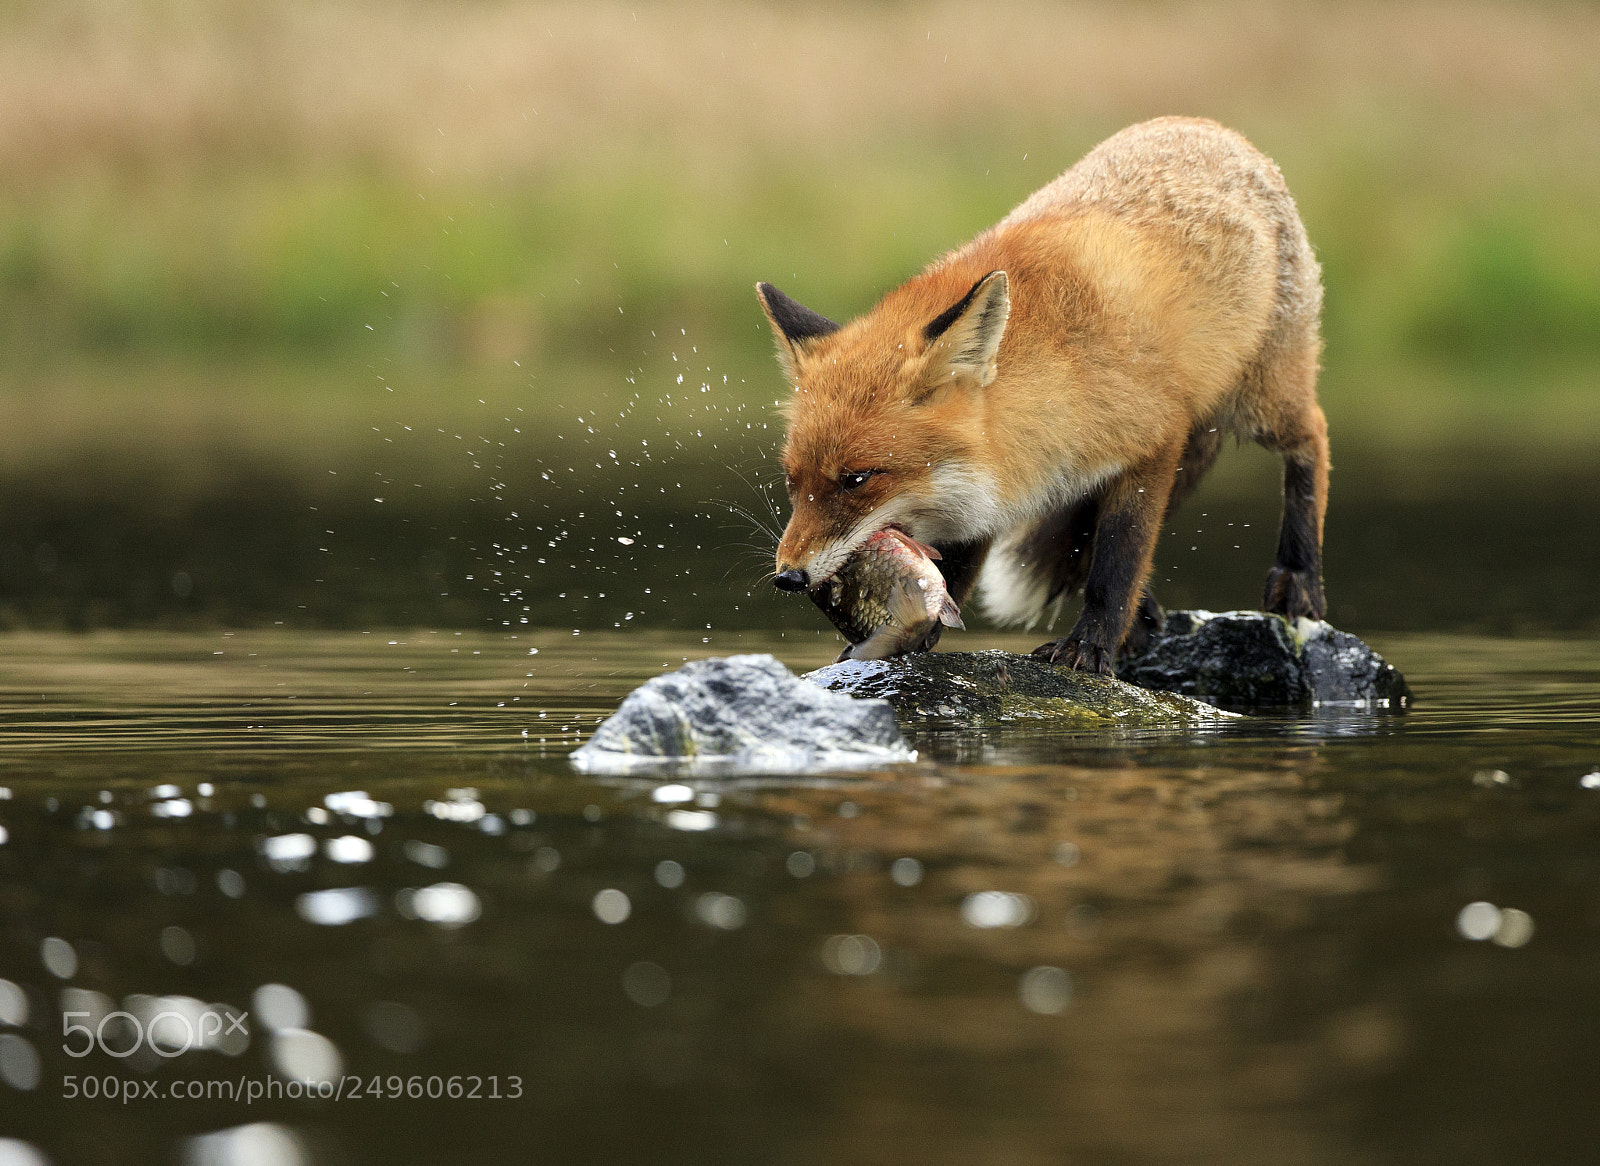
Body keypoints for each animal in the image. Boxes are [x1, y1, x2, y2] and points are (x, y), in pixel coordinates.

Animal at [757, 116, 1329, 675]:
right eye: (791, 481)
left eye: (857, 480)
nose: (788, 577)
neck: (1059, 375)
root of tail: (1214, 128)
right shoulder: (990, 481)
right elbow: (965, 564)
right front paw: (914, 632)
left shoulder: (1153, 444)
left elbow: (1117, 565)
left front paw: (1090, 647)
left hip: (1262, 400)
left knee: (1312, 439)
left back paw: (1298, 575)